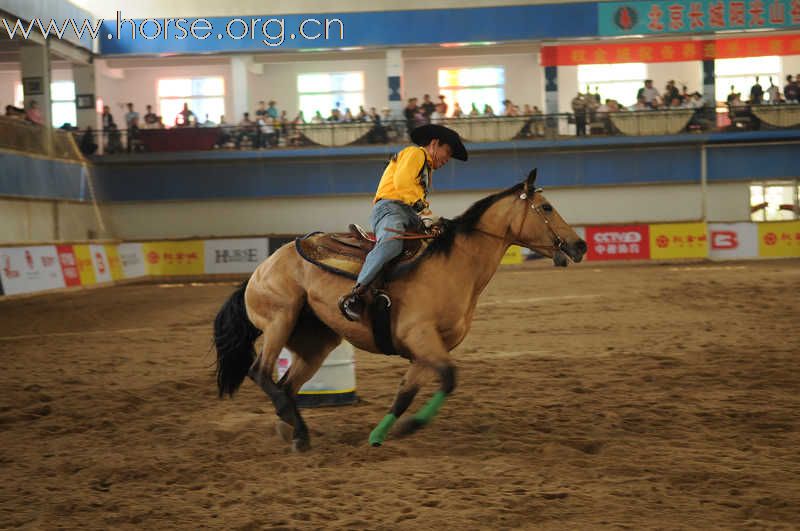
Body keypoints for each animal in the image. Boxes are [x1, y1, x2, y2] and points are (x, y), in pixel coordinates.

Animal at [212, 170, 588, 454]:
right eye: (547, 207)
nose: (580, 244)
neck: (454, 265)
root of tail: (261, 268)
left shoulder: (427, 350)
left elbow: (406, 395)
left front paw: (381, 435)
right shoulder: (420, 336)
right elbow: (449, 378)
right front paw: (409, 427)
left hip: (316, 343)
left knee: (287, 385)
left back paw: (291, 427)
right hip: (280, 319)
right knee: (261, 373)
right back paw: (297, 430)